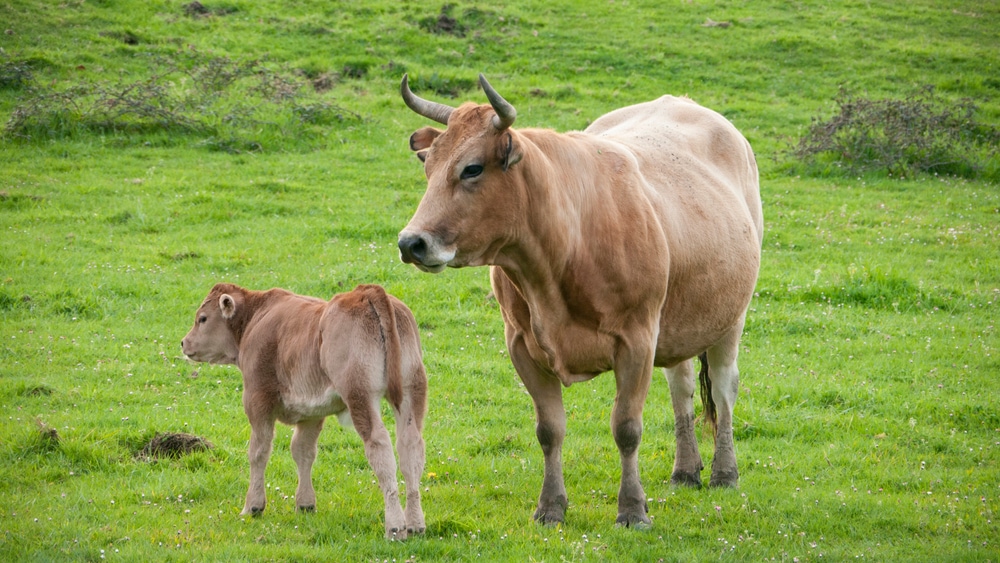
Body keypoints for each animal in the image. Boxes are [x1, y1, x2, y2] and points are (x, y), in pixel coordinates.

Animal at [182, 284, 428, 540]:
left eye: (202, 318)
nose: (184, 342)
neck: (257, 316)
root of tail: (366, 292)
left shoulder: (257, 400)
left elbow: (259, 451)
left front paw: (253, 506)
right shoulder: (312, 412)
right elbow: (303, 451)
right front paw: (305, 503)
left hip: (360, 394)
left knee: (380, 447)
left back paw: (395, 526)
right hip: (412, 389)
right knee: (411, 447)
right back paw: (415, 523)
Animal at [394, 74, 760, 528]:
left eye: (472, 168)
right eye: (428, 167)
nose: (411, 242)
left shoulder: (638, 339)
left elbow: (627, 428)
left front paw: (632, 509)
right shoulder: (521, 344)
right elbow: (549, 429)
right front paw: (551, 507)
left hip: (730, 316)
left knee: (725, 389)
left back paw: (724, 473)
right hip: (681, 323)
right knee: (682, 387)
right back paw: (685, 471)